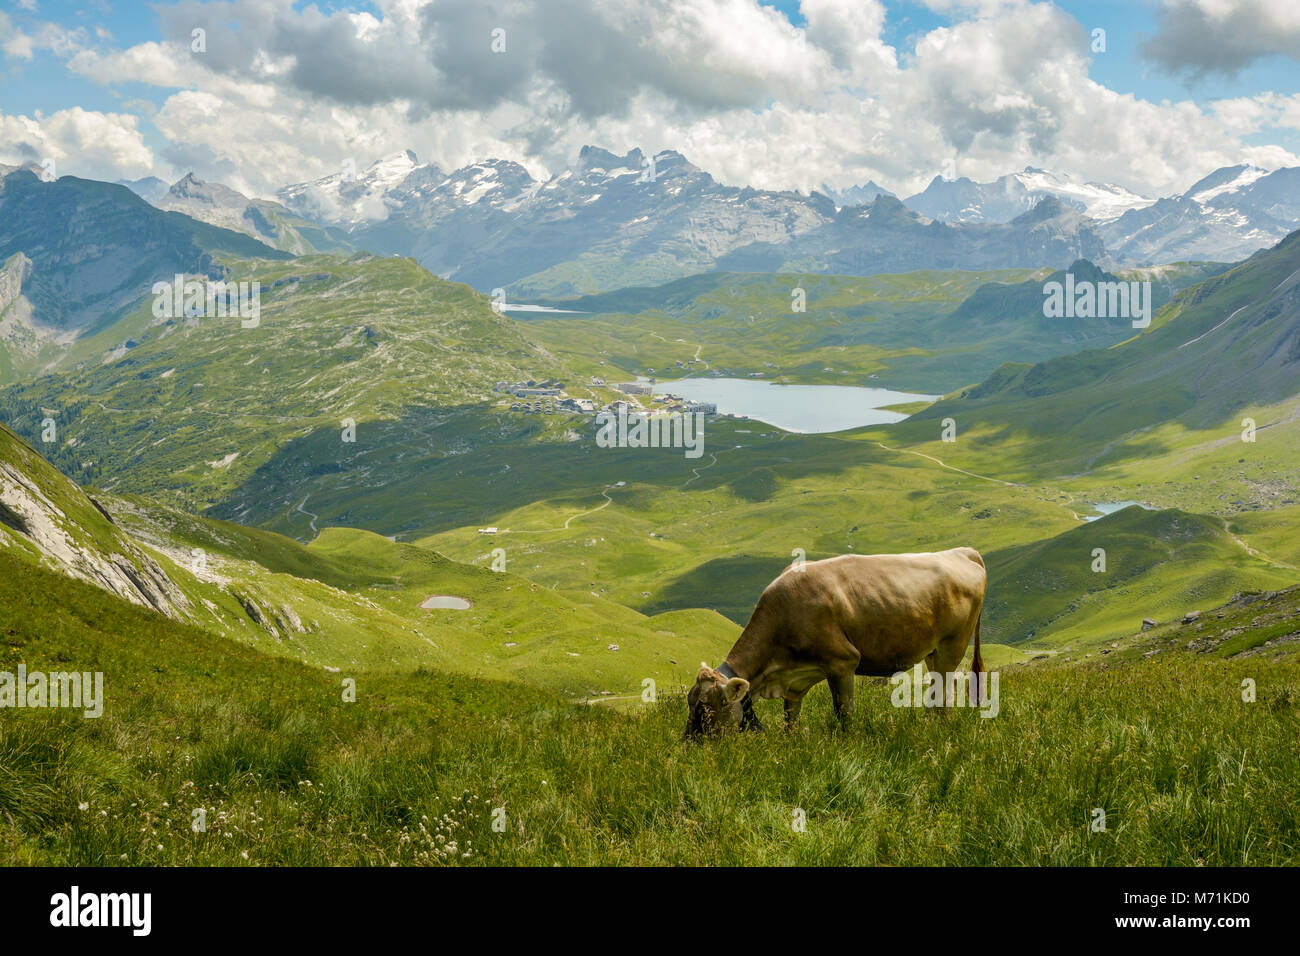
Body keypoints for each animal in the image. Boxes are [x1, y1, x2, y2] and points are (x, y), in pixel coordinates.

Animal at [684, 548, 986, 739]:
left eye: (703, 708)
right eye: (689, 702)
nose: (688, 744)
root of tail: (960, 551)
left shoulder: (842, 662)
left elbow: (844, 713)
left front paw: (846, 742)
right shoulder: (795, 682)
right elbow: (790, 719)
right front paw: (791, 742)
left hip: (953, 643)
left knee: (945, 688)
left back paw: (936, 729)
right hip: (933, 650)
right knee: (939, 686)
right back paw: (930, 725)